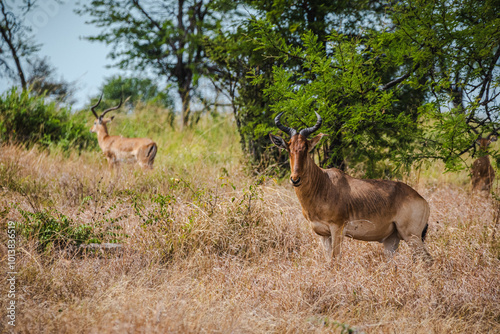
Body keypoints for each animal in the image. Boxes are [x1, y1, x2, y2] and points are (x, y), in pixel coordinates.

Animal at [272, 112, 432, 264]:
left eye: (306, 148)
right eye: (289, 147)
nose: (295, 179)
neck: (324, 183)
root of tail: (422, 200)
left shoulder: (337, 229)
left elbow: (335, 260)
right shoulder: (323, 235)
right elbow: (328, 261)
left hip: (411, 236)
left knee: (428, 260)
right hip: (392, 240)